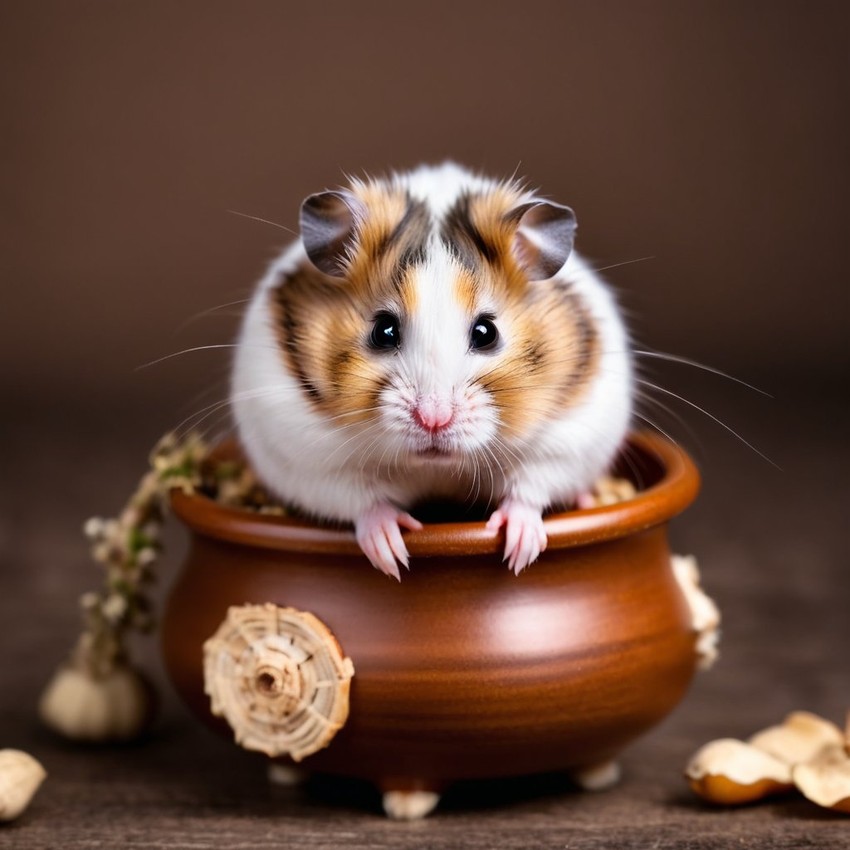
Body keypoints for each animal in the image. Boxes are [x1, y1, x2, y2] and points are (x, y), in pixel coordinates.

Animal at [230, 161, 628, 576]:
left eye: (486, 332)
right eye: (383, 330)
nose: (433, 420)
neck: (437, 468)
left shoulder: (567, 441)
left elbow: (530, 487)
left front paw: (518, 555)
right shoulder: (306, 456)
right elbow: (362, 500)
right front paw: (393, 556)